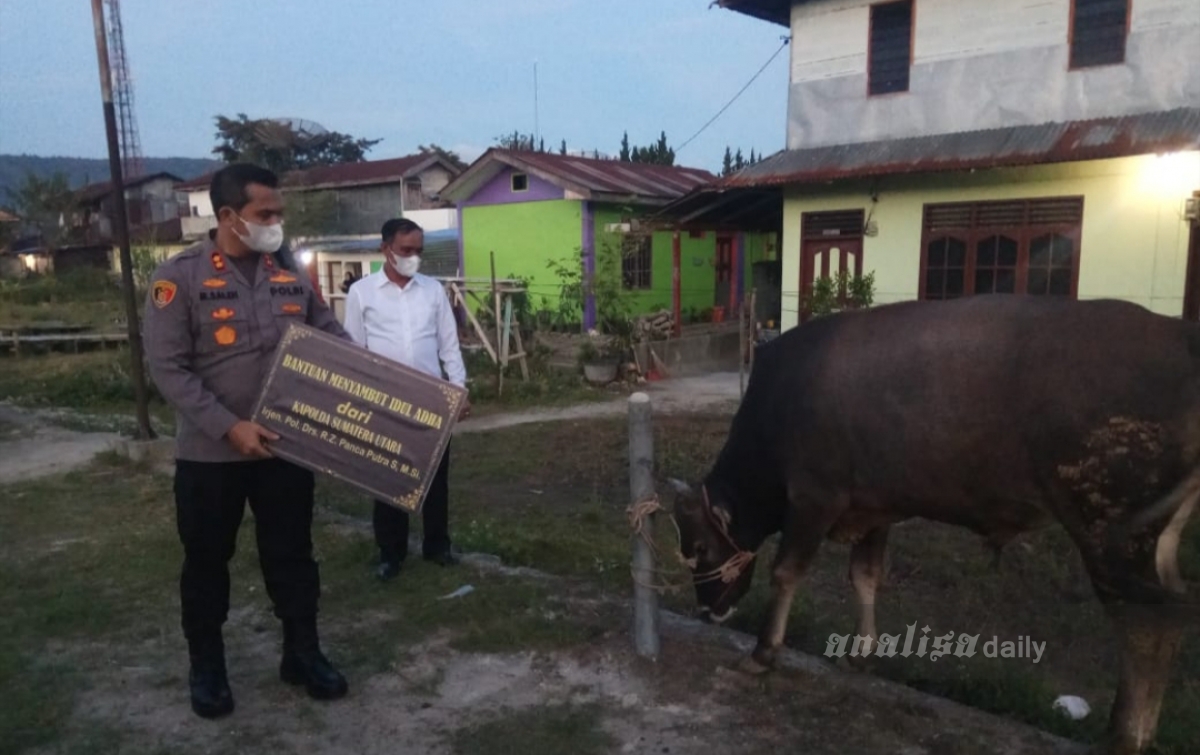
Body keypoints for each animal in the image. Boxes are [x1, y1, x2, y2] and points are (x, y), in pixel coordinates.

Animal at [676, 294, 1200, 753]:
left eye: (700, 547)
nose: (707, 611)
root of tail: (1180, 336)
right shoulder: (875, 506)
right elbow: (865, 576)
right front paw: (860, 652)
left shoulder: (814, 497)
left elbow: (786, 573)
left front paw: (763, 653)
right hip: (1155, 532)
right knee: (1171, 610)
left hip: (1108, 526)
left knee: (1144, 621)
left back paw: (1122, 737)